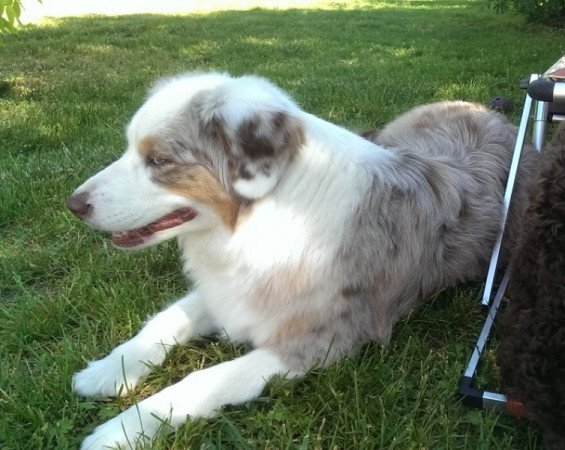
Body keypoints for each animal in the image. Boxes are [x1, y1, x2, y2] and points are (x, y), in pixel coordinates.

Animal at [66, 72, 532, 448]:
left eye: (159, 160)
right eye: (129, 149)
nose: (73, 204)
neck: (262, 221)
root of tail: (486, 110)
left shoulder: (320, 340)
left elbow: (207, 380)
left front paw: (120, 430)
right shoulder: (230, 291)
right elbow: (164, 321)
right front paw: (107, 371)